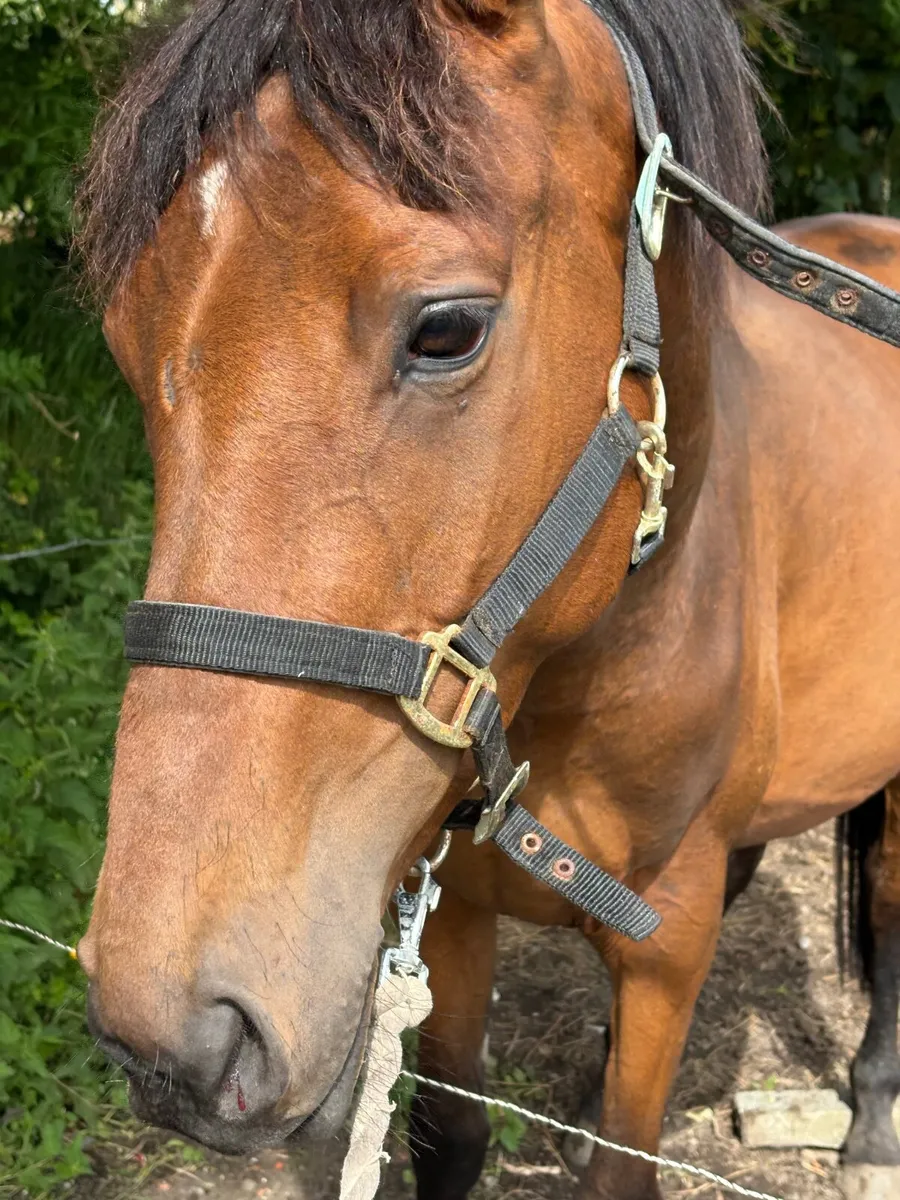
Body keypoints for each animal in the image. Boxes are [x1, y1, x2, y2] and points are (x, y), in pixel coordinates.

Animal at [75, 1, 900, 1197]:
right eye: (127, 344)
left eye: (447, 328)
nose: (174, 1035)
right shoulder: (454, 906)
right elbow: (452, 1132)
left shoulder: (670, 943)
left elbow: (626, 1164)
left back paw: (874, 1117)